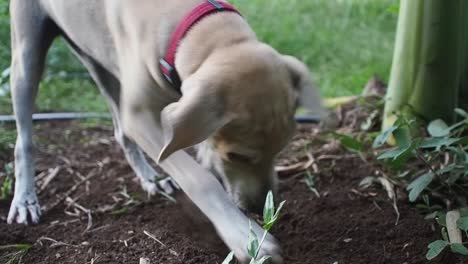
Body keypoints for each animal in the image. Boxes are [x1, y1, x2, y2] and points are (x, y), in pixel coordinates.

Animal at [8, 0, 322, 262]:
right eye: (238, 156)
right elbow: (199, 178)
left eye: (281, 150)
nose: (260, 208)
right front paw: (245, 234)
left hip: (98, 61)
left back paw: (152, 179)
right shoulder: (142, 118)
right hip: (26, 55)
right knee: (24, 140)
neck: (195, 25)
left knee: (120, 132)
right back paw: (25, 199)